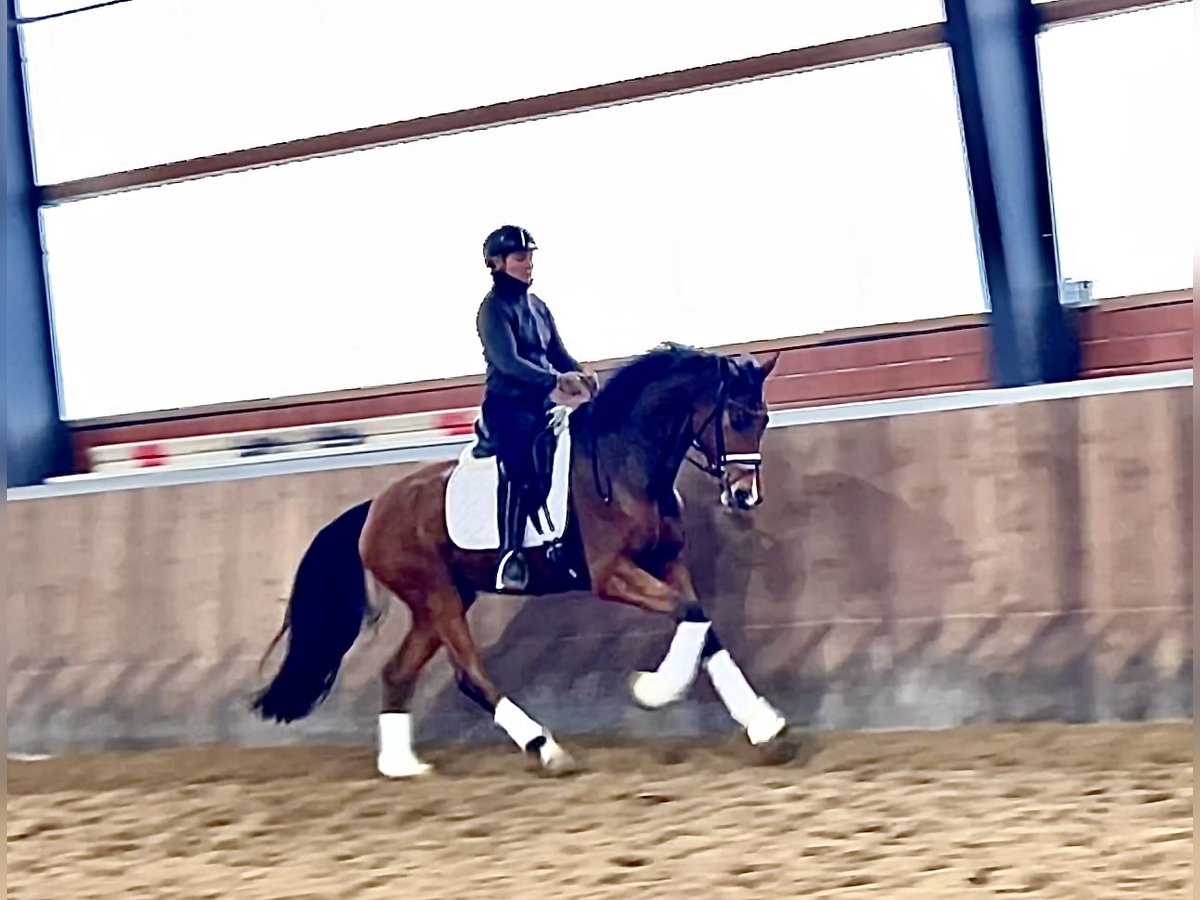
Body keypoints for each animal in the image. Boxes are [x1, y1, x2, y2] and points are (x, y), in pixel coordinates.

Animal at [251, 342, 789, 777]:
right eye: (737, 419)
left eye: (763, 419)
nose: (744, 496)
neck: (627, 462)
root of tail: (375, 507)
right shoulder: (613, 575)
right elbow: (691, 615)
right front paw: (653, 690)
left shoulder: (667, 563)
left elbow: (701, 623)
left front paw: (763, 725)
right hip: (436, 594)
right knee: (469, 673)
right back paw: (544, 747)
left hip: (442, 598)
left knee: (398, 671)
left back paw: (402, 765)